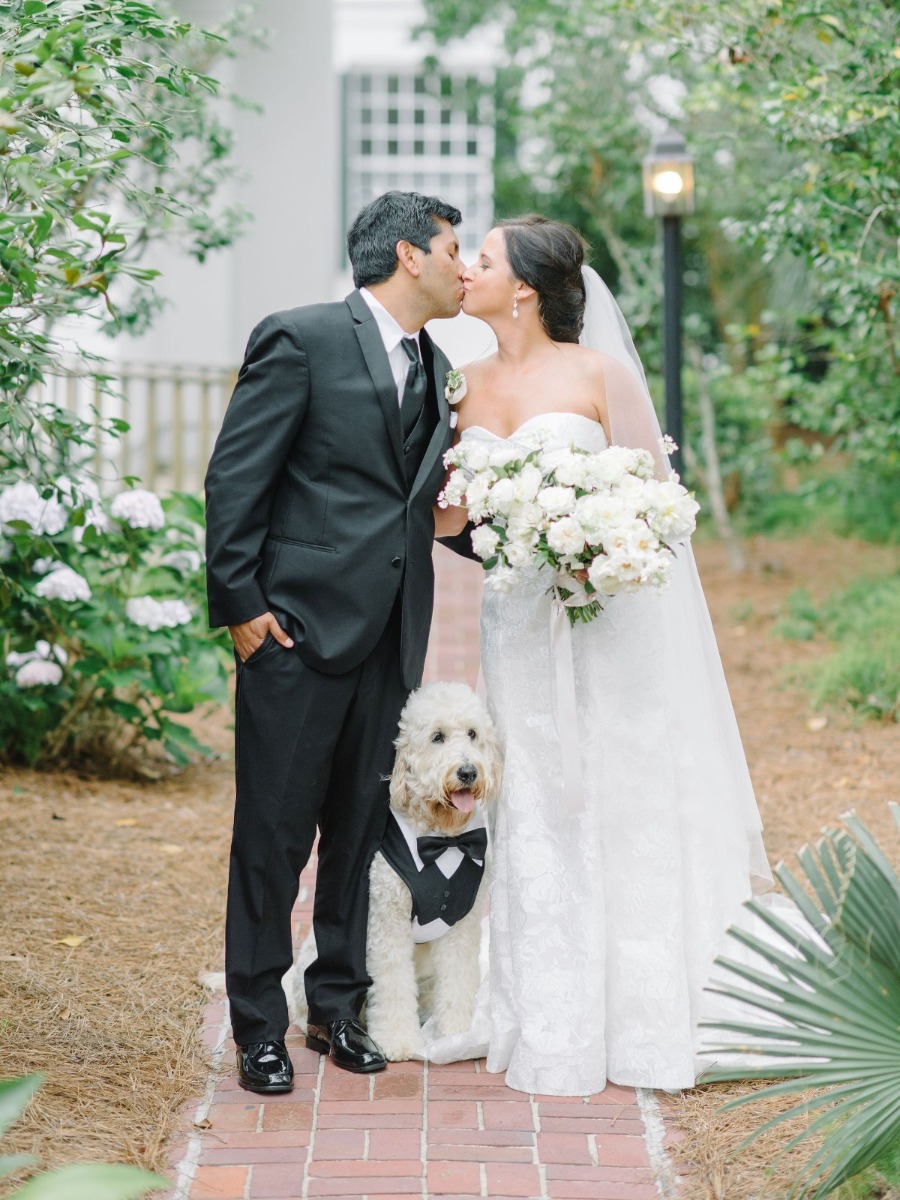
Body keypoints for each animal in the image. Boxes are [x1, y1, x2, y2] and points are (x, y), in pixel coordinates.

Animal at [367, 681, 508, 1065]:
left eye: (472, 734)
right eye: (437, 737)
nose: (468, 772)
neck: (445, 839)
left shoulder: (462, 925)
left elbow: (458, 979)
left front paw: (456, 1035)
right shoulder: (388, 922)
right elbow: (392, 984)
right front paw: (399, 1040)